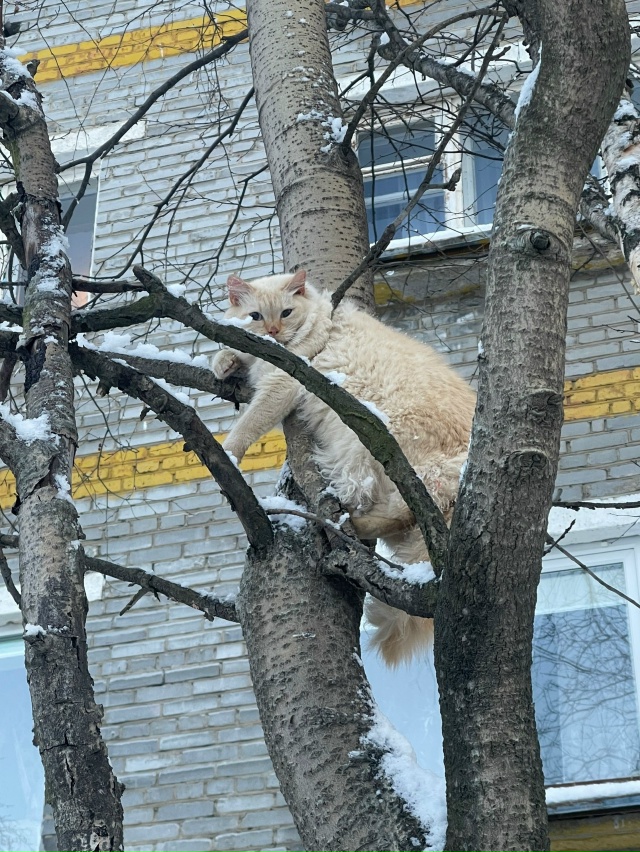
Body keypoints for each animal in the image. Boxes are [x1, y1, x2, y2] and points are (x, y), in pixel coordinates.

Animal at [211, 269, 476, 664]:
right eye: (255, 317)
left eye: (286, 313)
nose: (273, 332)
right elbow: (229, 351)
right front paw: (223, 362)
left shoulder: (281, 385)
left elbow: (247, 426)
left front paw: (226, 454)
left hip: (384, 457)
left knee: (397, 511)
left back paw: (345, 523)